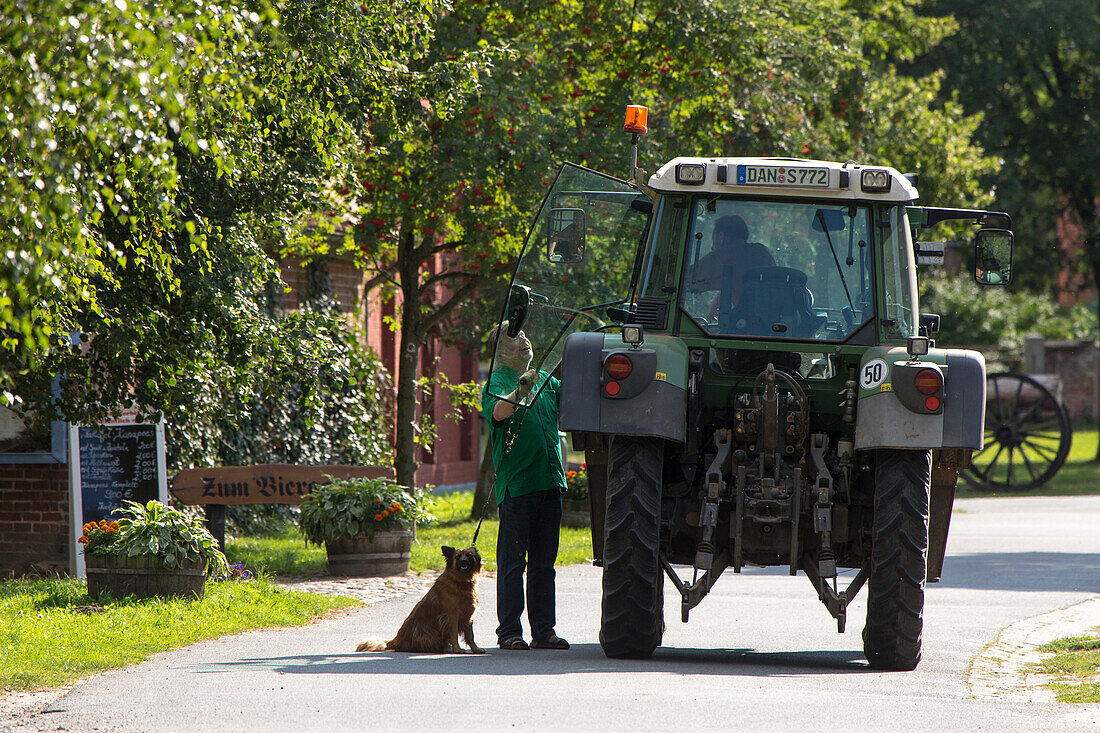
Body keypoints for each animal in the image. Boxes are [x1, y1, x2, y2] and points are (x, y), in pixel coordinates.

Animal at [356, 541, 486, 651]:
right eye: (458, 556)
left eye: (469, 555)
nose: (463, 561)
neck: (461, 582)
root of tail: (393, 642)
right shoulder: (452, 616)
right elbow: (454, 634)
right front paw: (457, 650)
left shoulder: (468, 615)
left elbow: (470, 636)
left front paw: (476, 649)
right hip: (429, 634)